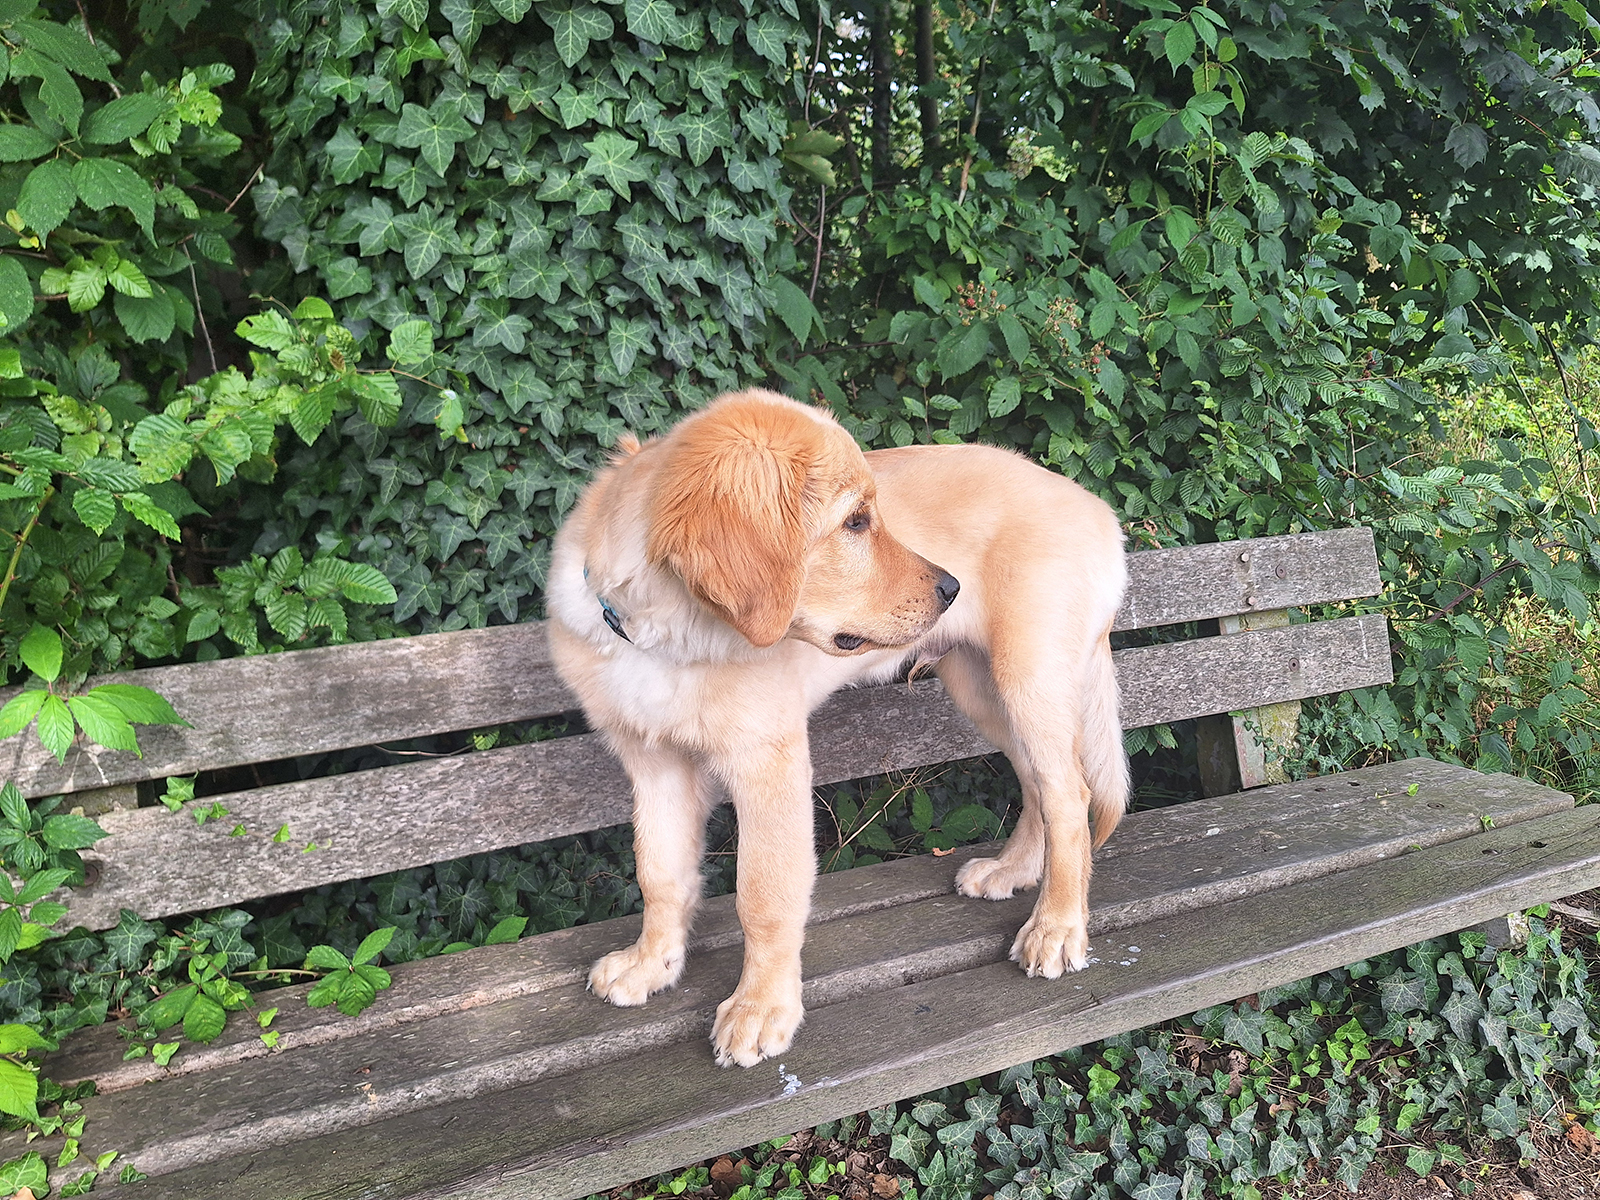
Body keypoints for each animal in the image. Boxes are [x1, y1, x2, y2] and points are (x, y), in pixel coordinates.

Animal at [547, 388, 1128, 1068]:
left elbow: (763, 894)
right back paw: (1012, 873)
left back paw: (1058, 927)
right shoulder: (653, 763)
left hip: (1030, 677)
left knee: (1070, 794)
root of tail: (1096, 507)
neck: (664, 638)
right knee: (1042, 786)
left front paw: (761, 1008)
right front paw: (651, 964)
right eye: (855, 522)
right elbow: (658, 871)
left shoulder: (768, 761)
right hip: (983, 689)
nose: (952, 588)